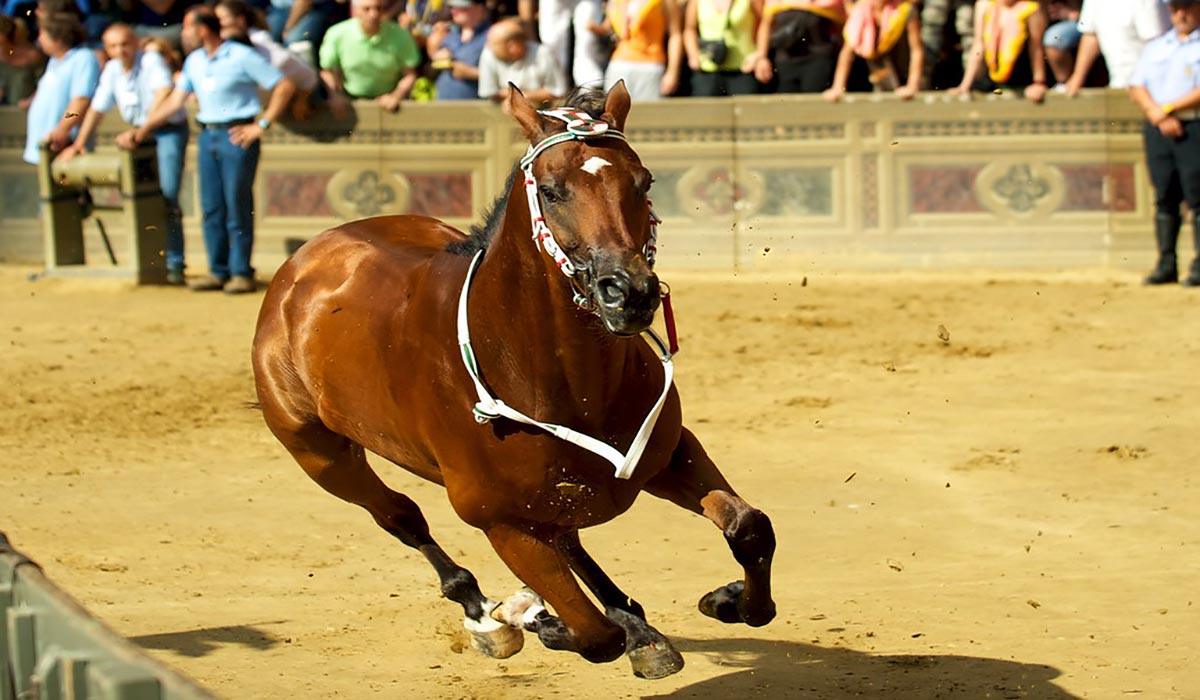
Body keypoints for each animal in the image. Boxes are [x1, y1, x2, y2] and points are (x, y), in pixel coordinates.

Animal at [253, 82, 777, 677]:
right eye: (551, 190)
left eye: (642, 182)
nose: (629, 292)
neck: (558, 381)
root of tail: (306, 258)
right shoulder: (499, 521)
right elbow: (593, 636)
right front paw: (530, 616)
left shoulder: (667, 455)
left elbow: (749, 527)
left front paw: (729, 600)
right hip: (318, 452)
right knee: (402, 516)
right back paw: (487, 612)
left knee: (568, 541)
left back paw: (637, 626)